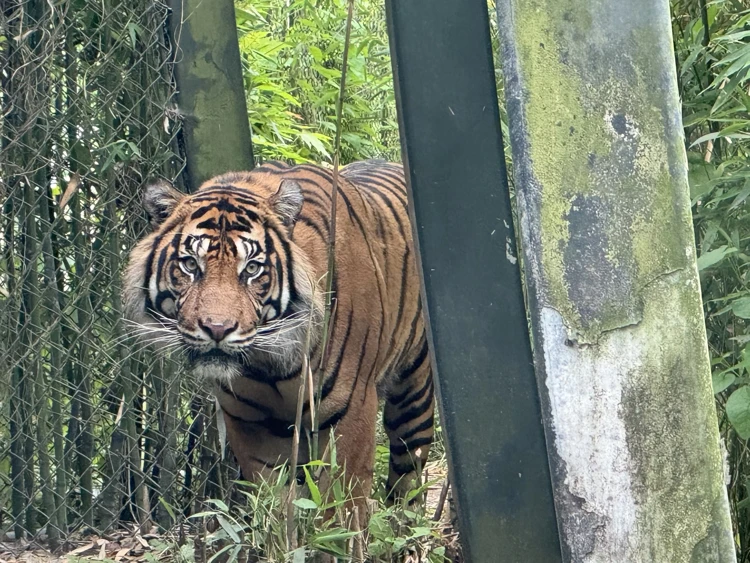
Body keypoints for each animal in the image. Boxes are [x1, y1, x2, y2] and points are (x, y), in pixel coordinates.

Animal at [125, 160, 434, 516]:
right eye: (190, 264)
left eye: (252, 269)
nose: (217, 329)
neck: (267, 365)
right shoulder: (251, 424)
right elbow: (277, 504)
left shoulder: (352, 409)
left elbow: (338, 507)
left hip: (414, 397)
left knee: (408, 483)